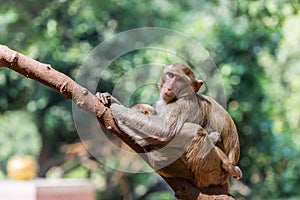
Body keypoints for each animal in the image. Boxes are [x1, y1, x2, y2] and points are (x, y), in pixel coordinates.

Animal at [96, 63, 241, 190]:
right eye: (170, 75)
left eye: (181, 80)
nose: (169, 87)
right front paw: (109, 99)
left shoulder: (185, 104)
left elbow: (165, 130)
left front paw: (117, 108)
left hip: (211, 171)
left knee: (194, 132)